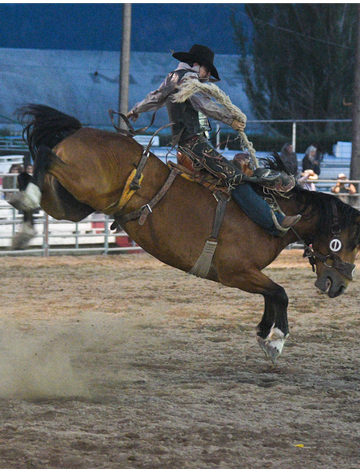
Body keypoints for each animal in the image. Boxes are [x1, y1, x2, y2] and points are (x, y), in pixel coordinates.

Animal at [9, 105, 360, 362]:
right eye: (344, 240)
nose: (341, 285)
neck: (272, 211)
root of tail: (80, 130)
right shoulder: (235, 272)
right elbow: (280, 293)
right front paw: (275, 341)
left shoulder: (247, 274)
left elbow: (271, 296)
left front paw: (264, 333)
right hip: (83, 183)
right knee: (44, 155)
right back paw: (24, 206)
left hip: (73, 202)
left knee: (36, 181)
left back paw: (22, 221)